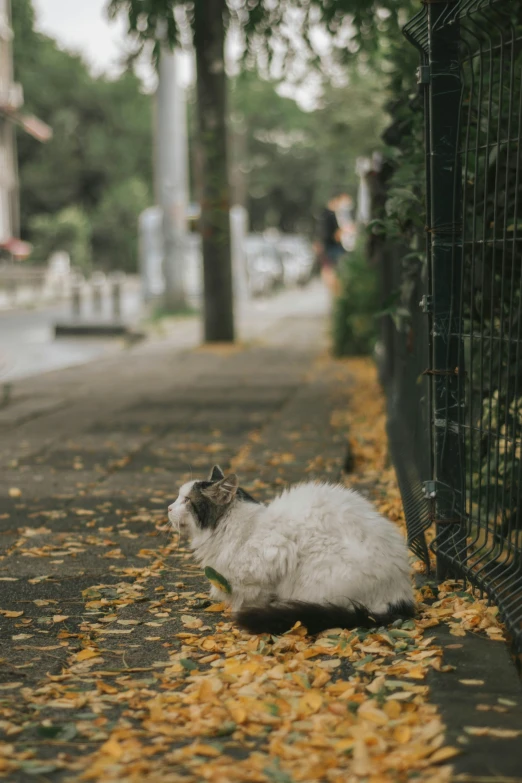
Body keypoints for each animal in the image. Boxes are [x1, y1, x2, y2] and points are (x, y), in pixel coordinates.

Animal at [169, 468, 412, 632]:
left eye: (187, 500)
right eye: (178, 497)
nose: (169, 508)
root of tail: (402, 596)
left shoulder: (278, 552)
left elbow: (256, 595)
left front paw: (248, 610)